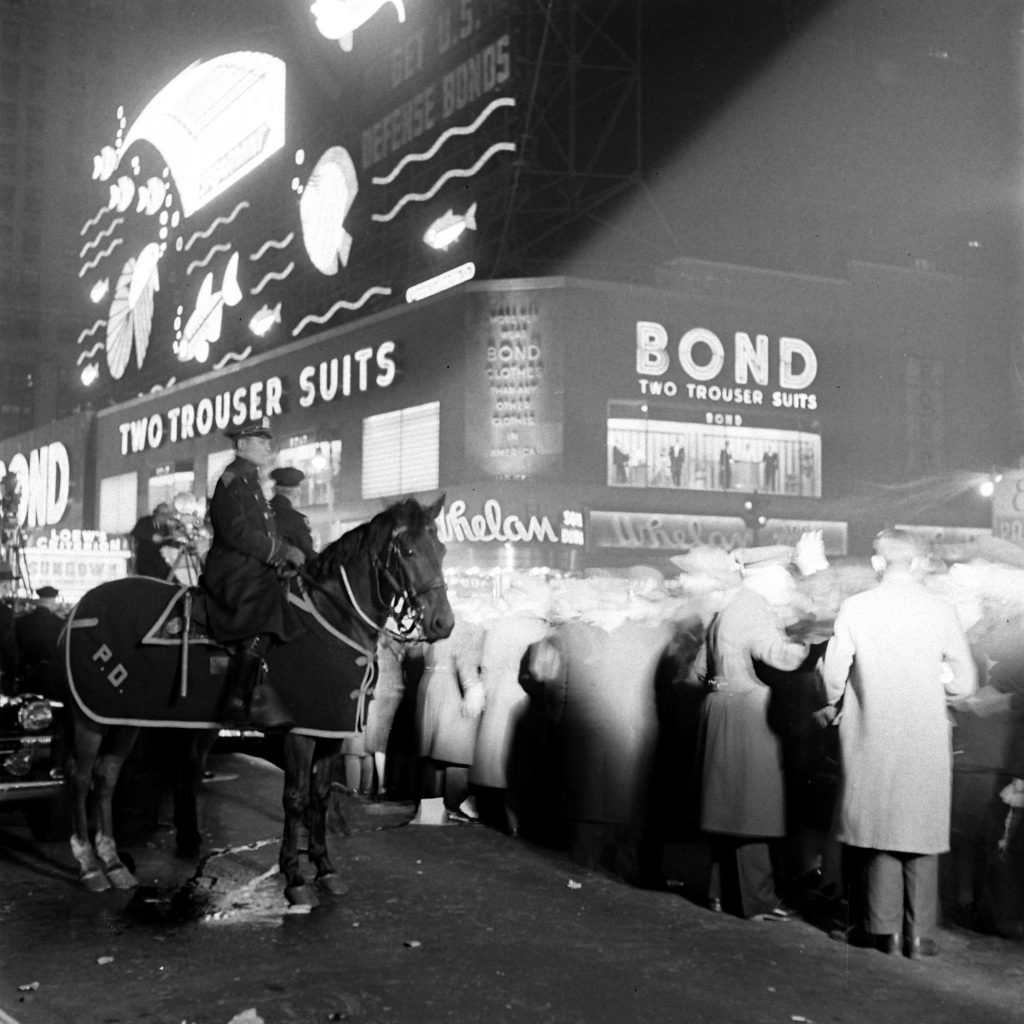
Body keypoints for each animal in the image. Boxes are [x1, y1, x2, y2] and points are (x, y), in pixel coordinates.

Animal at [59, 495, 452, 905]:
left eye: (441, 549)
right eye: (409, 551)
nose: (444, 623)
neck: (333, 618)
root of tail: (81, 607)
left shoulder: (331, 732)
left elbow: (321, 796)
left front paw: (325, 869)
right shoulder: (301, 733)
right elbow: (295, 798)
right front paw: (294, 877)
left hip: (124, 719)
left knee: (106, 776)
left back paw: (114, 864)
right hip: (91, 719)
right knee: (80, 776)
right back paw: (90, 866)